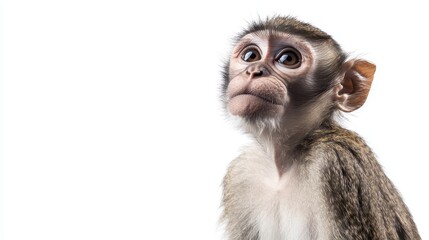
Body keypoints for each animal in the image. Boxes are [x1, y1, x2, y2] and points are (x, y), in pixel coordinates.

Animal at [219, 15, 420, 239]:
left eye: (287, 59)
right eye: (251, 55)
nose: (254, 71)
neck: (284, 165)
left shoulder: (335, 162)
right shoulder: (240, 174)